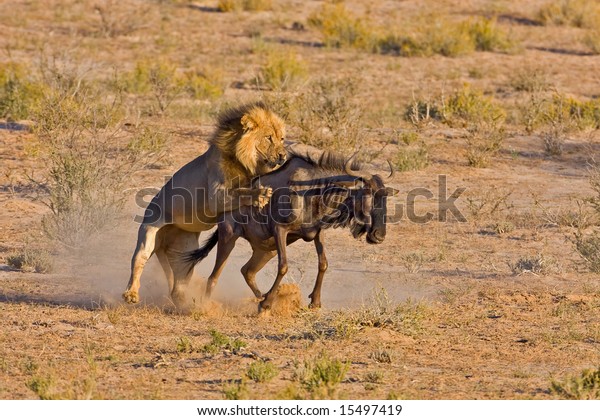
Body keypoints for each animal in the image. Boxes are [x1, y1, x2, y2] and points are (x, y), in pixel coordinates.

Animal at [122, 102, 288, 308]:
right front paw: (261, 194)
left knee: (177, 286)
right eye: (268, 137)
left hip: (184, 252)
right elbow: (240, 192)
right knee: (139, 260)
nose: (283, 156)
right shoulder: (215, 196)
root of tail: (164, 243)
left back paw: (187, 304)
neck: (245, 162)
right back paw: (131, 294)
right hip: (149, 232)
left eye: (282, 138)